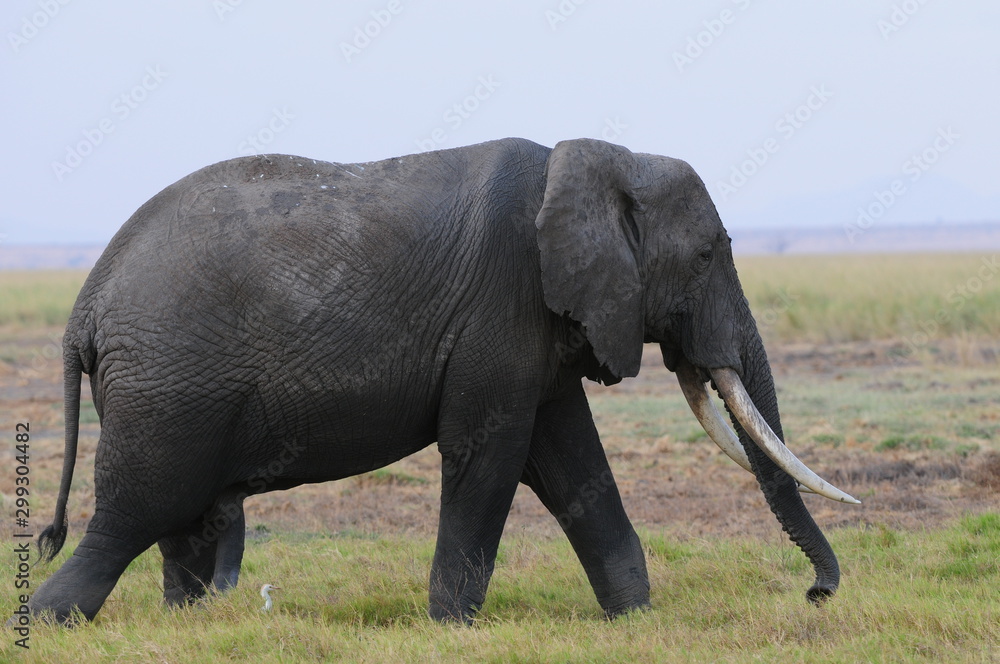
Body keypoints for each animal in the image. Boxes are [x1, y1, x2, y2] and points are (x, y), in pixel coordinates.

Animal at [30, 137, 857, 624]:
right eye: (709, 255)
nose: (816, 595)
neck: (596, 157)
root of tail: (85, 304)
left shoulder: (540, 331)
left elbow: (573, 466)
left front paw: (634, 620)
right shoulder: (503, 305)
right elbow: (489, 459)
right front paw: (455, 626)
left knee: (183, 518)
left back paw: (190, 623)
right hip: (168, 385)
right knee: (137, 511)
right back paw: (50, 619)